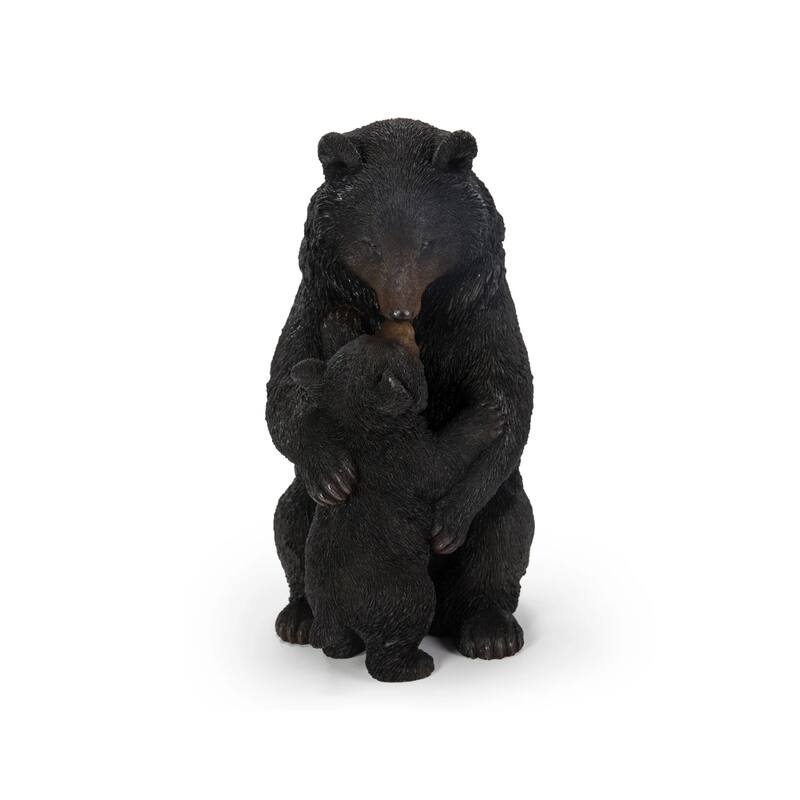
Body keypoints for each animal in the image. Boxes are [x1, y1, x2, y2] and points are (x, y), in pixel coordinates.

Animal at [290, 333, 502, 682]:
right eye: (401, 356)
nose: (385, 335)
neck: (356, 416)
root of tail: (341, 612)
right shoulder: (416, 455)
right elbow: (448, 455)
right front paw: (485, 416)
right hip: (409, 599)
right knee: (388, 650)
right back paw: (415, 665)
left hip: (321, 601)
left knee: (336, 640)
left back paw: (341, 648)